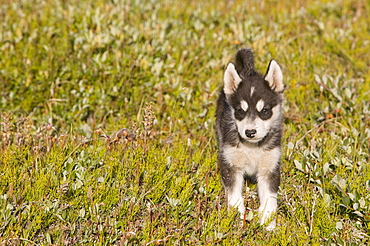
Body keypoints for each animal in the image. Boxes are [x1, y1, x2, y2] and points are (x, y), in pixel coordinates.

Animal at [215, 48, 284, 231]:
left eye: (265, 110)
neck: (252, 147)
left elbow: (269, 200)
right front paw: (237, 220)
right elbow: (234, 197)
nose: (250, 132)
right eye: (240, 110)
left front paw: (268, 225)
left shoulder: (269, 168)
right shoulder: (231, 165)